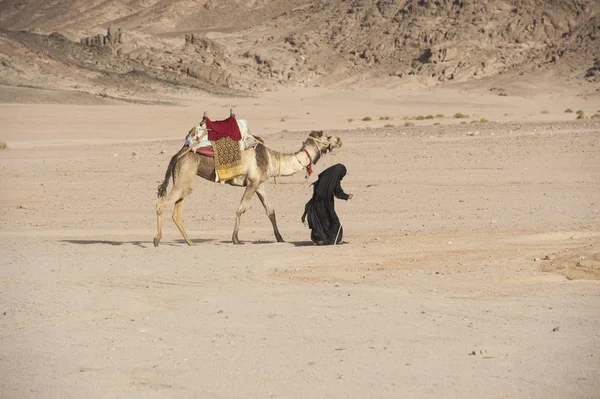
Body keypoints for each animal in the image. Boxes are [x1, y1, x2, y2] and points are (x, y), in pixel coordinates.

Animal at [152, 121, 344, 247]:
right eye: (328, 136)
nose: (339, 140)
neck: (271, 159)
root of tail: (179, 153)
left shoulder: (260, 183)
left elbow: (270, 211)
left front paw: (280, 238)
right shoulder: (252, 182)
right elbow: (241, 209)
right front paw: (236, 239)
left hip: (183, 179)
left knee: (177, 211)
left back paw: (190, 242)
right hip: (185, 175)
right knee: (161, 204)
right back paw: (157, 240)